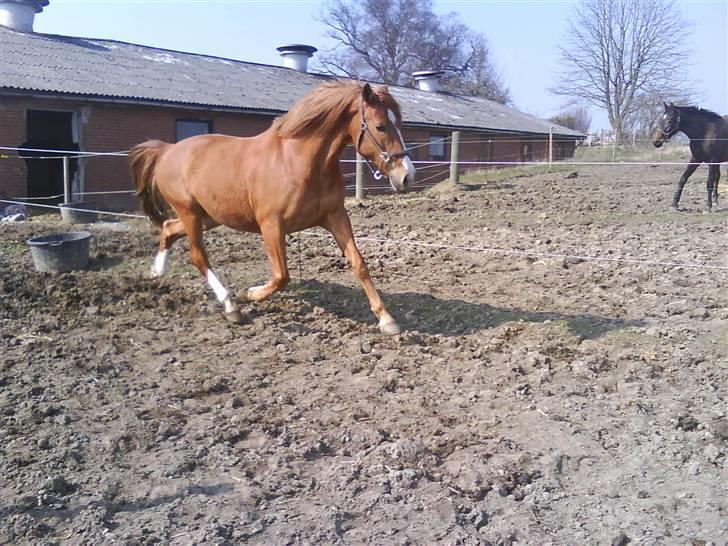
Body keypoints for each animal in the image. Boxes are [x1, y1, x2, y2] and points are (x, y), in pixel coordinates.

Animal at [131, 80, 416, 332]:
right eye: (380, 126)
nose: (406, 177)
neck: (298, 161)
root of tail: (167, 151)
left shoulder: (335, 217)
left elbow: (359, 264)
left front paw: (386, 319)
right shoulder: (271, 226)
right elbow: (281, 276)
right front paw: (248, 294)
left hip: (209, 216)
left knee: (169, 228)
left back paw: (155, 273)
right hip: (190, 213)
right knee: (198, 255)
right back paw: (231, 306)